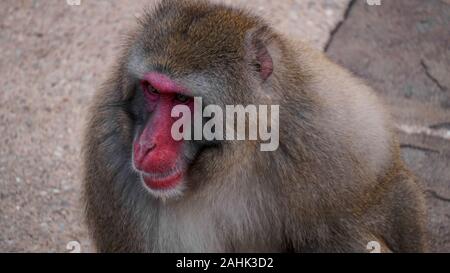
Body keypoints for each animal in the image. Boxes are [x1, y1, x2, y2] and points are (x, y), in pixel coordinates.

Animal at [82, 0, 428, 251]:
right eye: (152, 90)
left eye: (182, 99)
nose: (145, 145)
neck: (239, 156)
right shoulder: (110, 159)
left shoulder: (330, 122)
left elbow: (388, 190)